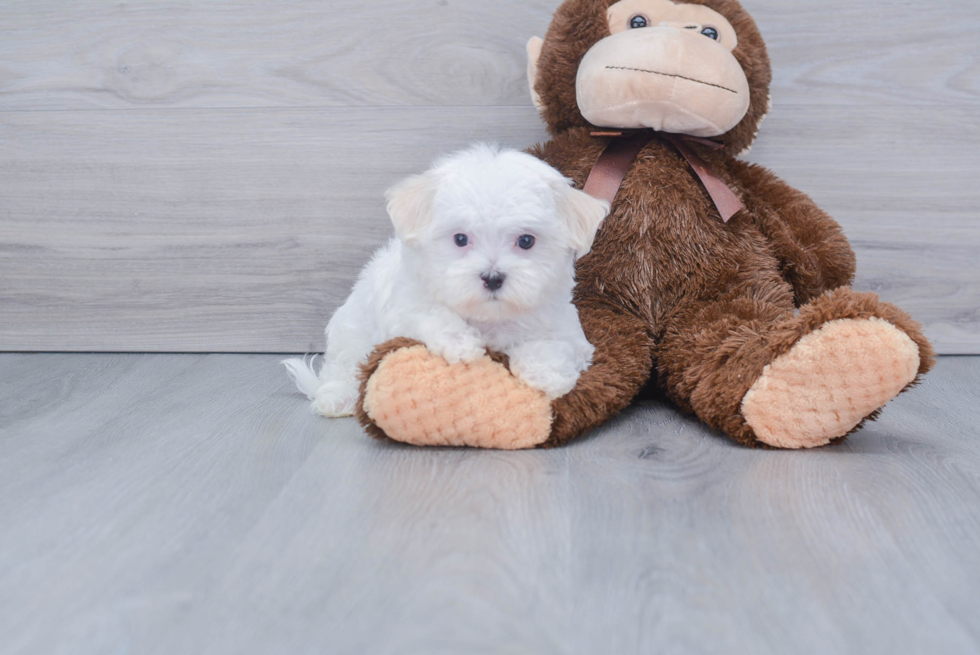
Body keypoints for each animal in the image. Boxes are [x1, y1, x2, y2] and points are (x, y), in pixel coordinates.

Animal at [280, 145, 608, 418]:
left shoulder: (563, 325)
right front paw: (460, 342)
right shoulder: (405, 306)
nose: (492, 278)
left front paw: (544, 372)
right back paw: (339, 397)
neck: (486, 318)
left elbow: (557, 343)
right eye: (460, 239)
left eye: (526, 241)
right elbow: (427, 313)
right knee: (344, 366)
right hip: (351, 330)